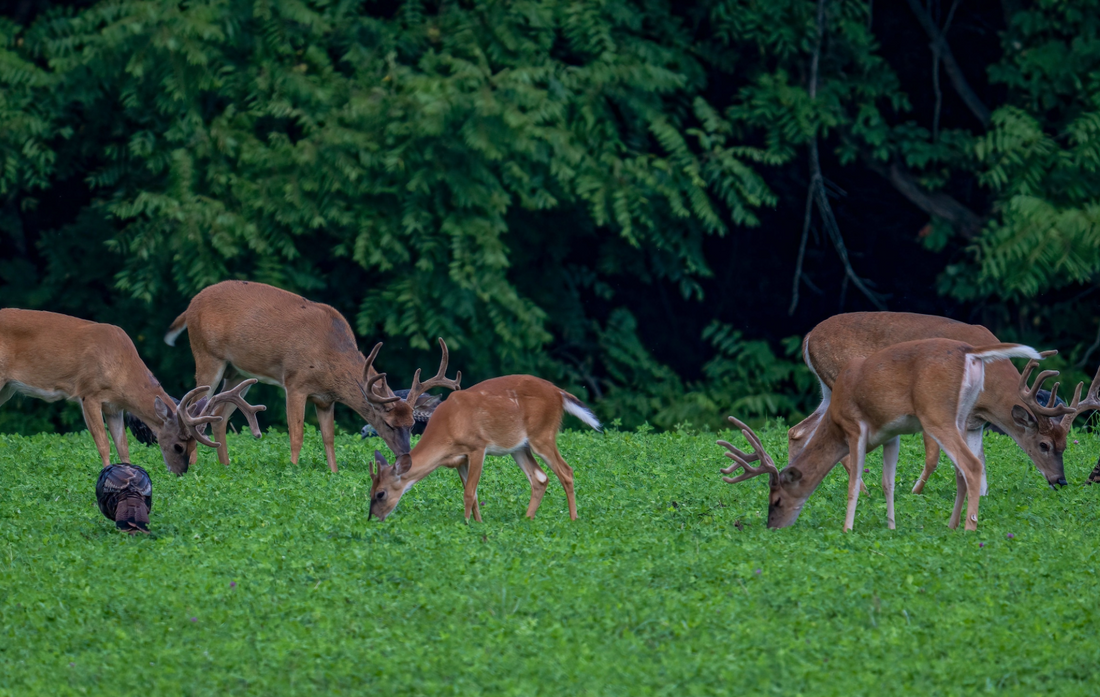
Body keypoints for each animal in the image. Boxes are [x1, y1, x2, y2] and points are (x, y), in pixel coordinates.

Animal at [0, 308, 265, 474]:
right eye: (178, 446)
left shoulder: (114, 406)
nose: (181, 473)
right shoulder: (88, 393)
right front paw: (106, 473)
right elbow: (103, 444)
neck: (120, 368)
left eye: (192, 446)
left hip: (7, 389)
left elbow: (123, 445)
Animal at [165, 280, 460, 473]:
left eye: (412, 424)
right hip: (206, 354)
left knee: (220, 414)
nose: (407, 457)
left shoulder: (325, 398)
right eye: (387, 424)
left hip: (237, 373)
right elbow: (296, 434)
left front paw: (334, 472)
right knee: (194, 407)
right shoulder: (295, 383)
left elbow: (328, 437)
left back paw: (225, 465)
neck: (329, 355)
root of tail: (190, 306)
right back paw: (193, 465)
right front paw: (293, 470)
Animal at [367, 375, 602, 522]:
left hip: (542, 434)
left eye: (380, 493)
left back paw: (573, 519)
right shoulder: (459, 460)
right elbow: (473, 496)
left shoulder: (478, 447)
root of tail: (559, 392)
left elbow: (469, 493)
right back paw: (527, 519)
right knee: (540, 478)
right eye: (369, 491)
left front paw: (466, 524)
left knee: (566, 471)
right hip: (519, 447)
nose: (373, 519)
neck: (448, 427)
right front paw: (478, 524)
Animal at [718, 339, 1060, 532]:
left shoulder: (855, 427)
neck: (835, 423)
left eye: (775, 500)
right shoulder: (891, 433)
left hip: (936, 414)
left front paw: (847, 529)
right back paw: (950, 526)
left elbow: (854, 481)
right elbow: (888, 483)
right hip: (962, 417)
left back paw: (968, 529)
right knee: (963, 470)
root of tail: (971, 352)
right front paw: (892, 528)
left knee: (972, 466)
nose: (771, 528)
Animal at [788, 312, 1077, 495]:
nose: (1061, 480)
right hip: (841, 385)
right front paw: (915, 491)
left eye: (1064, 445)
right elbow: (933, 457)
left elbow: (979, 460)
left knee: (798, 430)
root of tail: (808, 337)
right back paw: (864, 490)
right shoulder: (934, 406)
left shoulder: (975, 422)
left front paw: (979, 496)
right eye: (1044, 444)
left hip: (827, 389)